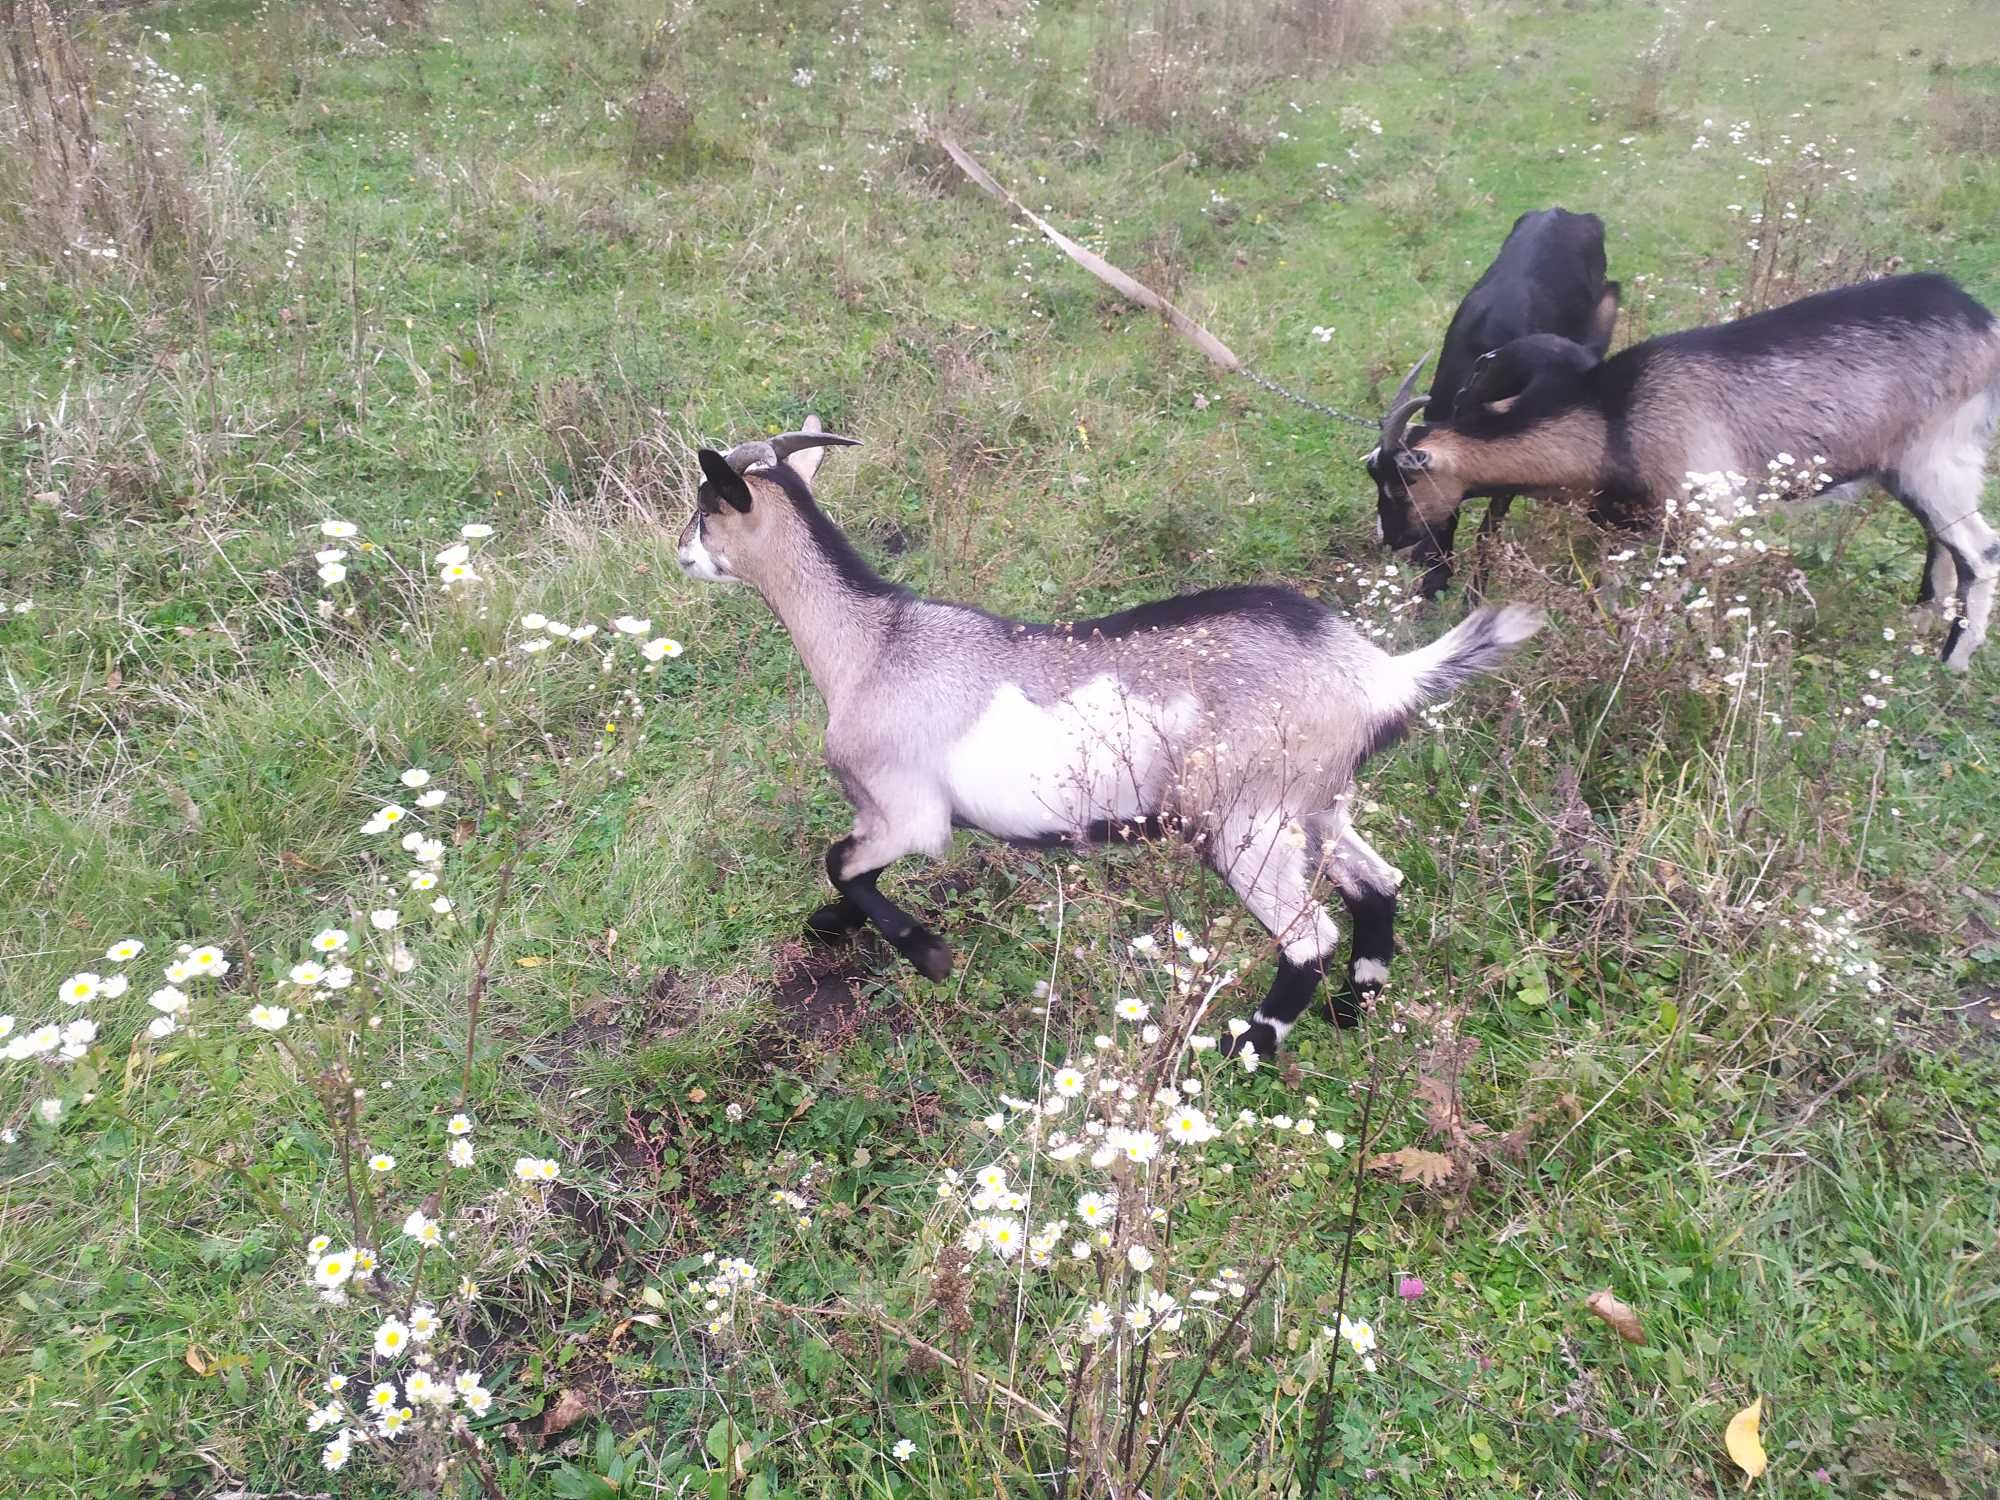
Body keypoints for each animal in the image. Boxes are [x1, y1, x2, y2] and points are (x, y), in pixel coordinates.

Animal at [1368, 272, 2000, 668]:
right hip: (1907, 468)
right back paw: (1921, 627)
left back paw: (1952, 663)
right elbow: (1614, 591)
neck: (1615, 417)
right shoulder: (1629, 532)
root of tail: (1980, 320)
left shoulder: (1709, 518)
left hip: (1935, 456)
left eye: (1401, 483)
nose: (1392, 540)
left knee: (1978, 548)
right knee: (1941, 544)